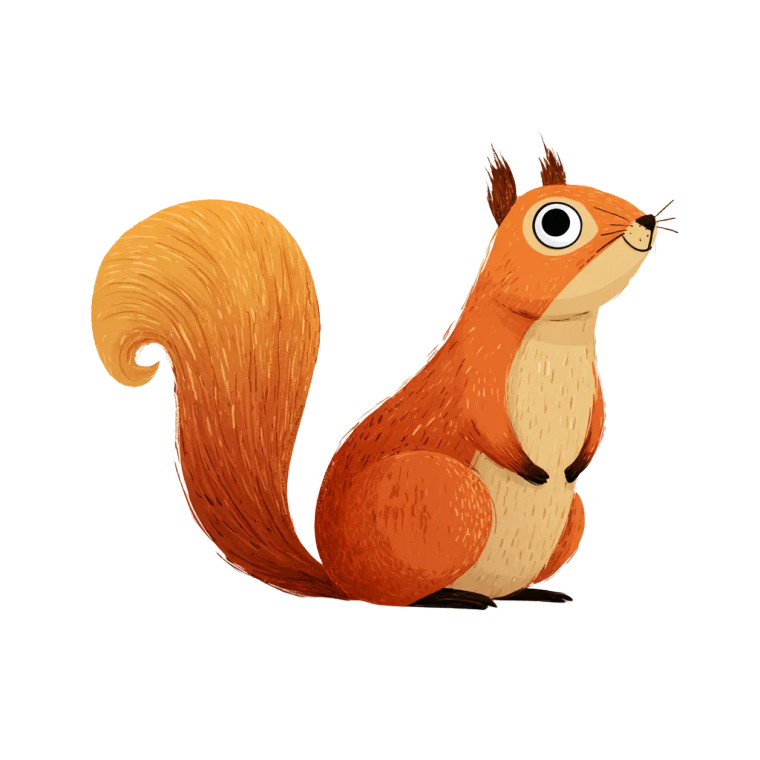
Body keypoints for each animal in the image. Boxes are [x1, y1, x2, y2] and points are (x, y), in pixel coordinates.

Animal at [92, 144, 668, 609]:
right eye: (556, 224)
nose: (646, 220)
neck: (560, 337)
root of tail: (340, 578)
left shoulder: (593, 388)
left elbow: (598, 422)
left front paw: (578, 462)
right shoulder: (477, 374)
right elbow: (486, 422)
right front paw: (531, 466)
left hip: (569, 518)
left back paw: (531, 590)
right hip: (444, 495)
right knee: (398, 596)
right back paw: (451, 597)